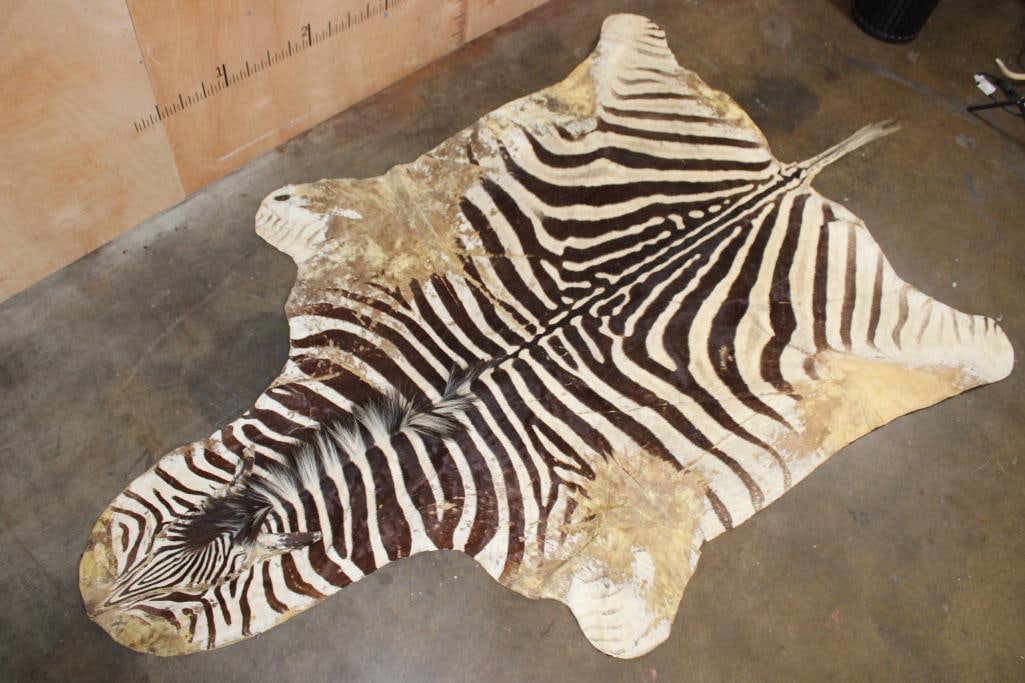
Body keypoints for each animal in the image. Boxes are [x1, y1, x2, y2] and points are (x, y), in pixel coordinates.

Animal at [81, 14, 1013, 659]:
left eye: (184, 610)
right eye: (137, 543)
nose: (93, 611)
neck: (404, 430)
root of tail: (781, 173)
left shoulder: (584, 537)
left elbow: (625, 622)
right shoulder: (354, 252)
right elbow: (296, 212)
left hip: (879, 324)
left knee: (973, 346)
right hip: (643, 107)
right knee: (629, 46)